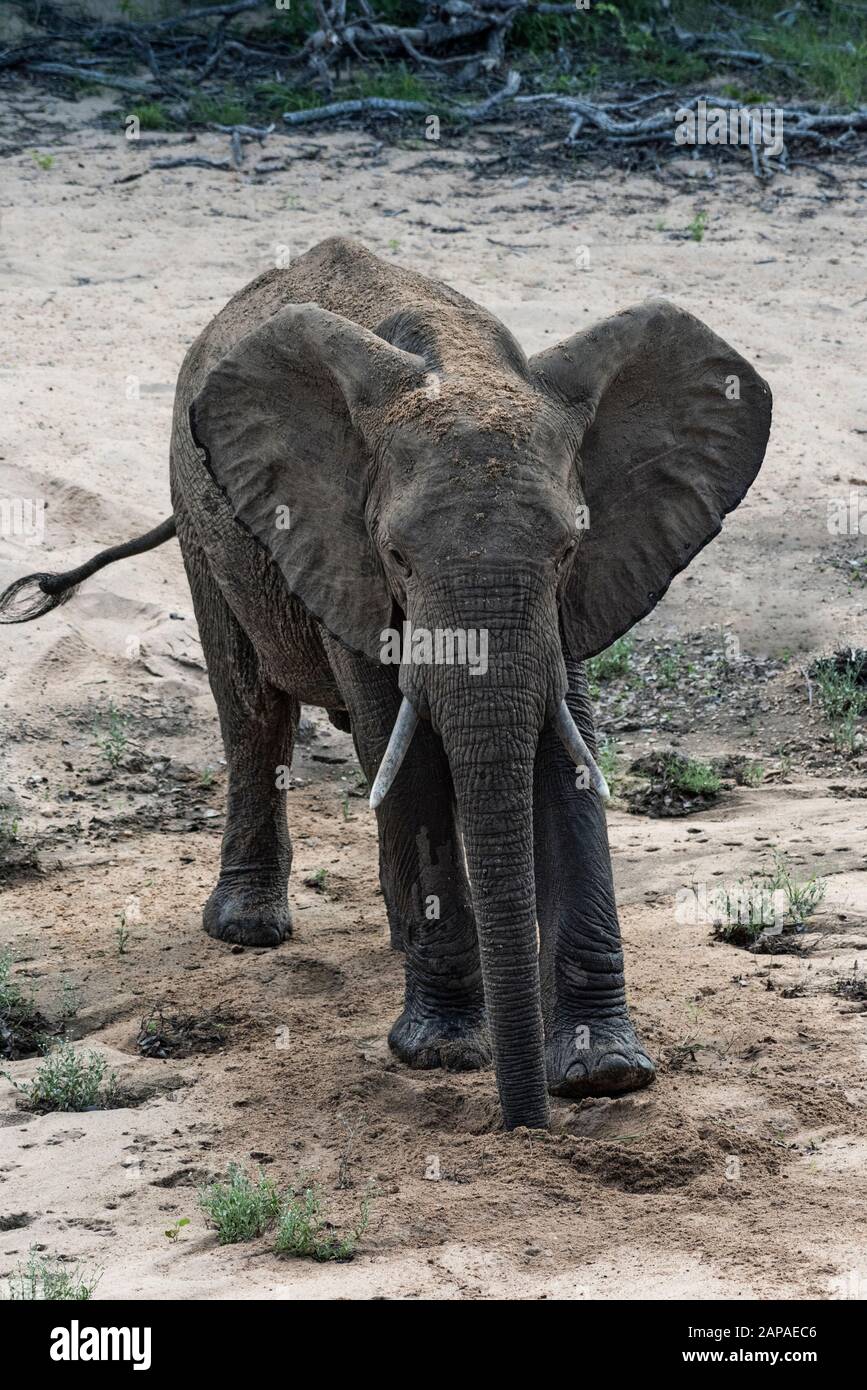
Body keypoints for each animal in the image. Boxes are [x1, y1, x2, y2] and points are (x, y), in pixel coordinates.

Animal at [0, 236, 772, 1128]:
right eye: (397, 555)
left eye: (567, 549)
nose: (524, 1126)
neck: (462, 364)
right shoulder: (343, 554)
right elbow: (402, 752)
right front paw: (445, 1053)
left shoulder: (584, 586)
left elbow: (568, 751)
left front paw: (603, 1072)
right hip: (198, 514)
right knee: (253, 708)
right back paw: (251, 930)